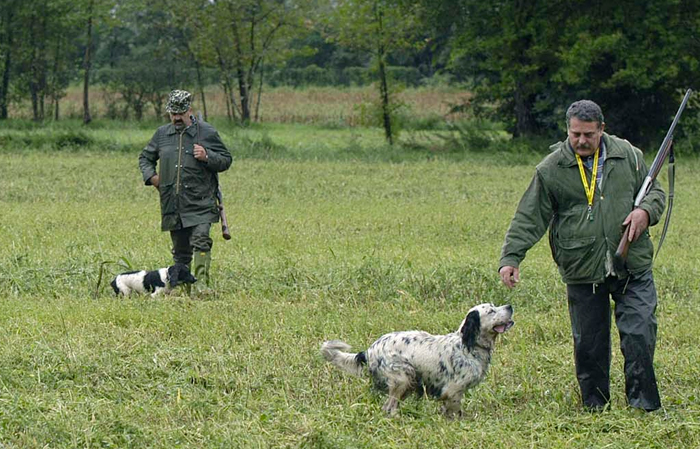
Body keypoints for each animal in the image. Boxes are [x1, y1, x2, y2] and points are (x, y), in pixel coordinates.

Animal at [320, 302, 512, 414]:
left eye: (495, 305)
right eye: (491, 311)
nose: (510, 306)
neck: (467, 345)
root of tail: (369, 351)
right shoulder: (454, 390)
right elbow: (455, 412)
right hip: (402, 378)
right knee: (388, 407)